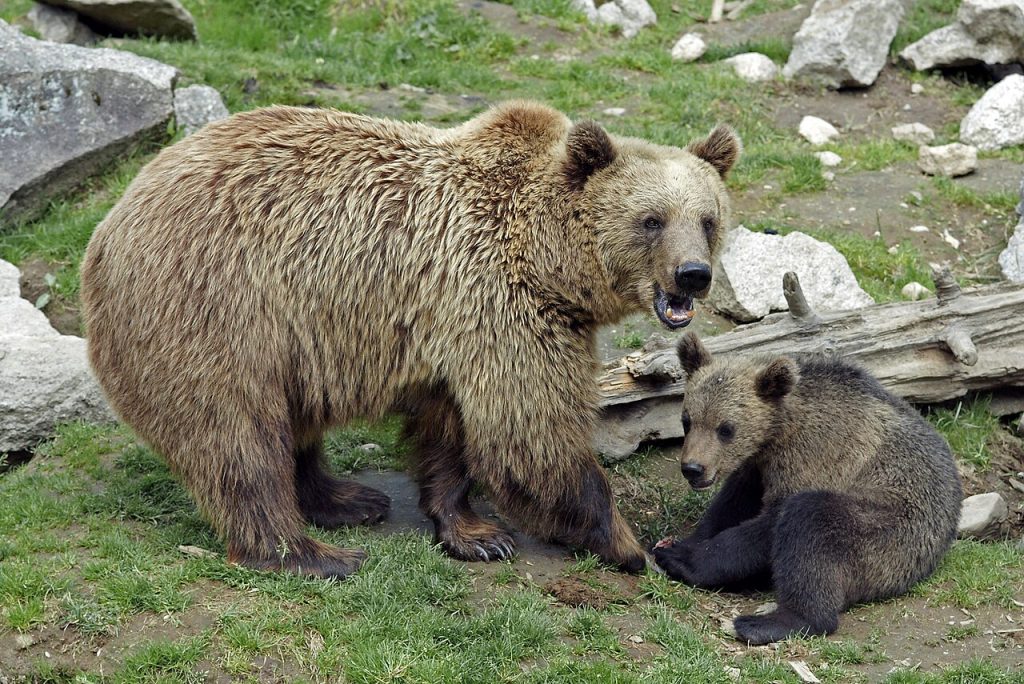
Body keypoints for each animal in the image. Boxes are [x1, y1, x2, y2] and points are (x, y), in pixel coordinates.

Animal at [80, 101, 741, 579]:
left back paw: (347, 499)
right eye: (651, 219)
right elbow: (530, 432)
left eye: (708, 220)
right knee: (238, 439)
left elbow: (451, 431)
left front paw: (474, 534)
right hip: (214, 314)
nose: (693, 274)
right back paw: (311, 553)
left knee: (288, 425)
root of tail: (109, 226)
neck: (546, 259)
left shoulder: (451, 329)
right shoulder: (502, 305)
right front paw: (629, 543)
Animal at [653, 332, 962, 644]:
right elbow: (732, 503)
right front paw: (679, 542)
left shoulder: (816, 455)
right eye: (687, 420)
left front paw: (682, 558)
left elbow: (768, 524)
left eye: (726, 428)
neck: (779, 431)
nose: (693, 468)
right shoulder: (758, 467)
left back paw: (771, 621)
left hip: (889, 534)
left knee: (812, 523)